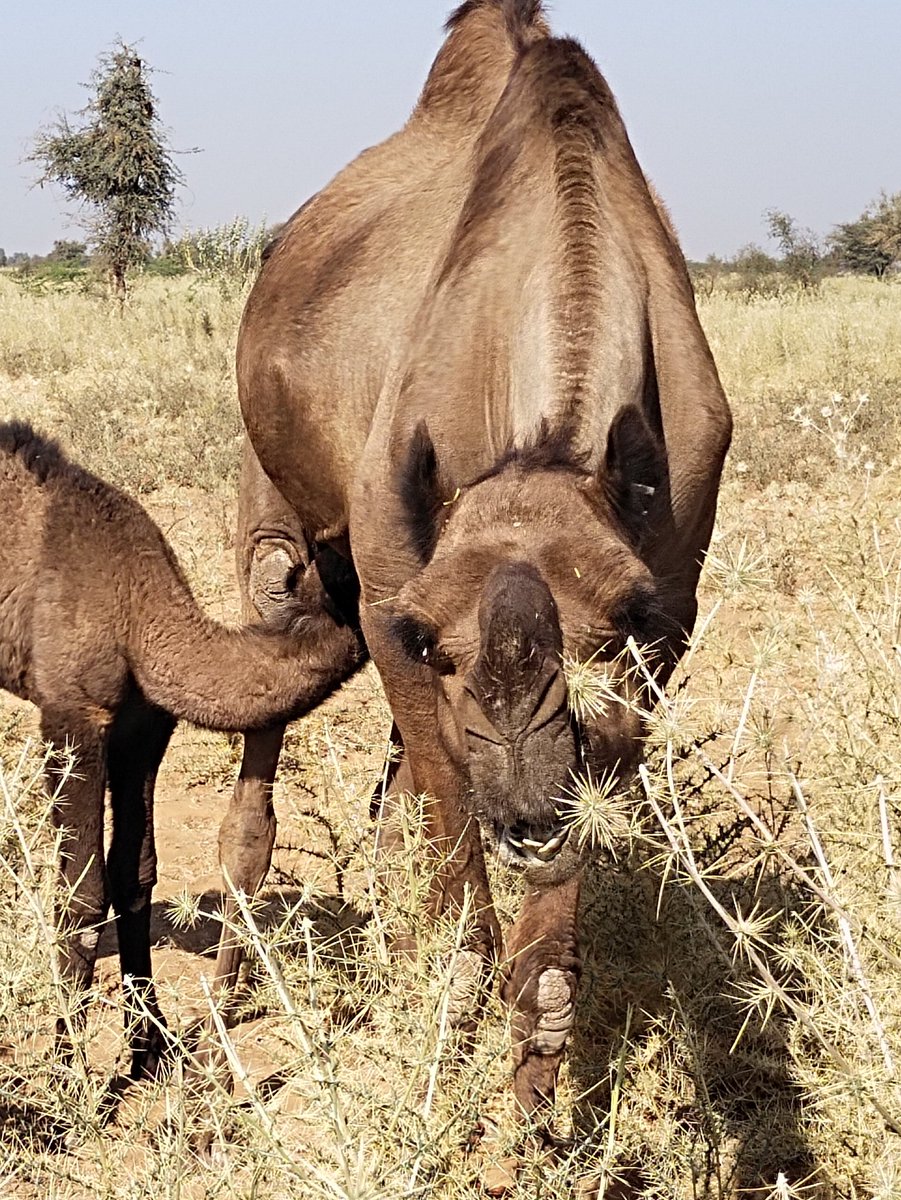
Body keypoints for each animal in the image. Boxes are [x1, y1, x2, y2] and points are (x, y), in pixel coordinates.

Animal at [0, 422, 362, 1078]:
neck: (139, 614)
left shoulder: (143, 727)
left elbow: (135, 872)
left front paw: (153, 1047)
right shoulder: (71, 714)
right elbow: (81, 894)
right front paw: (69, 1075)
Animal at [229, 0, 731, 1168]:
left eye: (613, 626)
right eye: (434, 638)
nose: (522, 791)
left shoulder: (665, 628)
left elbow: (542, 956)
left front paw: (539, 1123)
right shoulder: (386, 603)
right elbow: (461, 900)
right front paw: (446, 1089)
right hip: (276, 518)